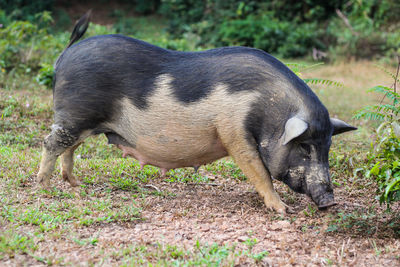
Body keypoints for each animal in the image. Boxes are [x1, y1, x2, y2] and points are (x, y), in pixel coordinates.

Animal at [37, 12, 356, 214]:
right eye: (303, 146)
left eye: (327, 147)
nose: (329, 201)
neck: (268, 107)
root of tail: (65, 55)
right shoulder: (233, 130)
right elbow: (258, 169)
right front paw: (283, 210)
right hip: (75, 115)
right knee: (51, 143)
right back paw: (45, 188)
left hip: (83, 121)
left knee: (69, 147)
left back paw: (75, 184)